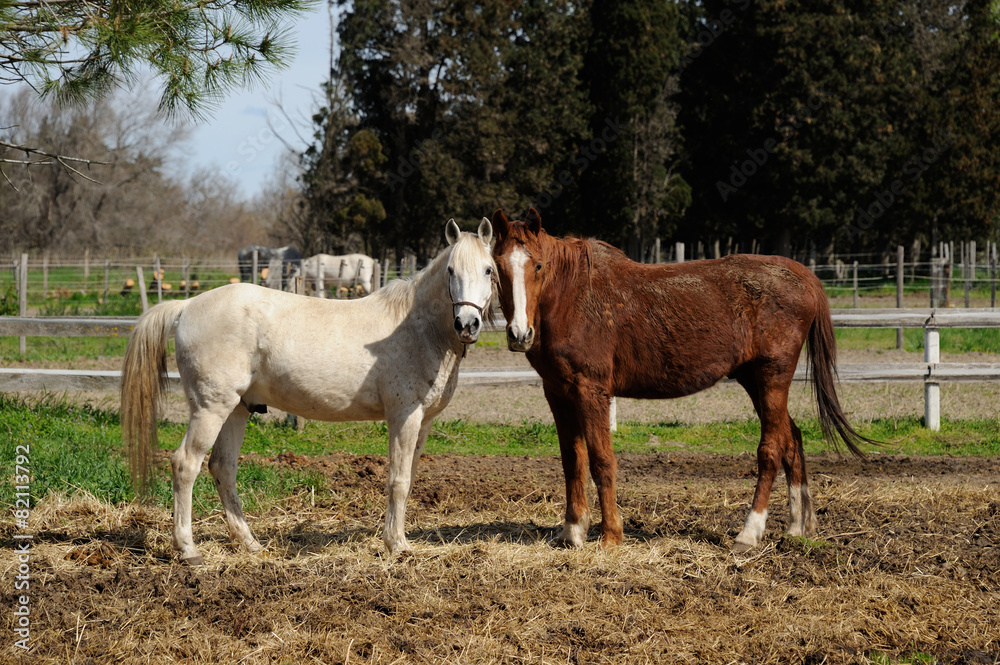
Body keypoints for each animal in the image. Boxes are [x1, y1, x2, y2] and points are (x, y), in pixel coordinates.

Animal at [123, 219, 496, 564]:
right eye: (451, 270)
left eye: (488, 270)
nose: (467, 324)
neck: (418, 327)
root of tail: (187, 305)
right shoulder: (404, 415)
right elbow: (398, 481)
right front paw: (396, 545)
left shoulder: (423, 421)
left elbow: (409, 478)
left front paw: (398, 539)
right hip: (210, 408)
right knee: (186, 465)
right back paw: (188, 550)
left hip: (237, 410)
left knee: (222, 468)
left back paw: (249, 543)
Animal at [490, 208, 872, 552]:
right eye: (497, 267)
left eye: (538, 266)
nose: (520, 334)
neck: (572, 297)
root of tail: (802, 275)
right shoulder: (558, 393)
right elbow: (572, 461)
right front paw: (571, 532)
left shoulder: (591, 391)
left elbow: (601, 460)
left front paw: (611, 536)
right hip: (754, 380)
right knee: (791, 439)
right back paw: (796, 527)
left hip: (772, 377)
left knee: (771, 449)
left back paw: (749, 534)